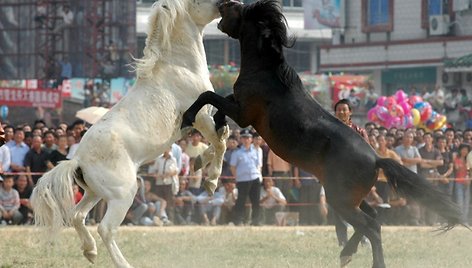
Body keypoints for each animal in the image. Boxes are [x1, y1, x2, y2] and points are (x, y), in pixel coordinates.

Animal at [30, 1, 227, 266]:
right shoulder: (201, 117)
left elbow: (220, 139)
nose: (226, 4)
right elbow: (221, 142)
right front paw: (211, 181)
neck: (179, 66)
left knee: (77, 215)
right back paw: (121, 262)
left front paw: (198, 162)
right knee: (105, 228)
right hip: (123, 194)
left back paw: (90, 252)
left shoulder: (195, 125)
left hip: (94, 192)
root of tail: (78, 160)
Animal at [182, 1, 464, 266]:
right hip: (351, 197)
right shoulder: (238, 107)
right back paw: (347, 253)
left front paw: (187, 119)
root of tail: (376, 158)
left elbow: (208, 96)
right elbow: (218, 109)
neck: (266, 72)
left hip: (341, 199)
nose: (222, 4)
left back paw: (367, 260)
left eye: (237, 8)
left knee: (371, 225)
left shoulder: (244, 114)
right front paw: (210, 145)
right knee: (373, 218)